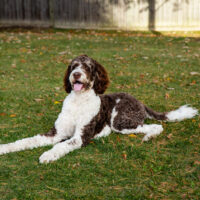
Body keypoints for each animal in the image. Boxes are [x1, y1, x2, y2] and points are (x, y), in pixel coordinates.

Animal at [0, 54, 197, 162]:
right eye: (73, 66)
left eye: (88, 67)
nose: (76, 74)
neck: (78, 102)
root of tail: (139, 102)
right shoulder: (56, 133)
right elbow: (26, 141)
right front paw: (5, 147)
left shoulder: (80, 136)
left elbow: (61, 146)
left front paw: (48, 155)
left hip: (120, 121)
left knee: (155, 126)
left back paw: (149, 136)